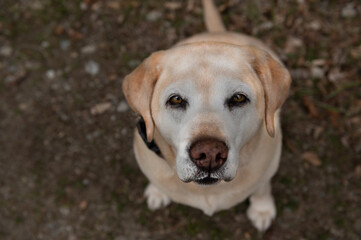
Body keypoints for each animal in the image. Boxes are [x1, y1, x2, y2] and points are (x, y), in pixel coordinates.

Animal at [122, 0, 292, 232]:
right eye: (176, 100)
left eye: (239, 98)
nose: (209, 154)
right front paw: (157, 192)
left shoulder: (268, 168)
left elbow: (262, 188)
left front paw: (262, 209)